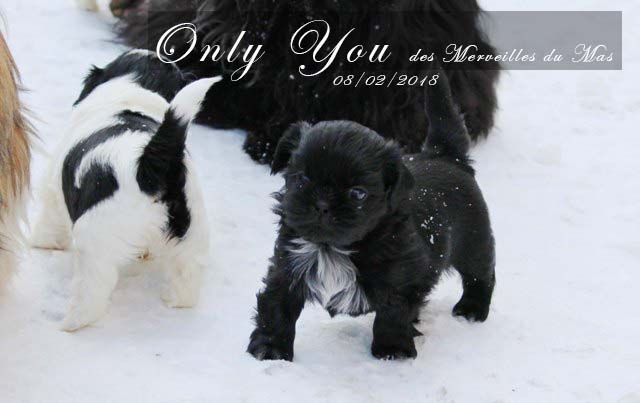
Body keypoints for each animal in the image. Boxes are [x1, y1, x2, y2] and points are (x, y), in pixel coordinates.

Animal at [31, 50, 219, 331]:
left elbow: (49, 223)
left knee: (91, 292)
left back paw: (70, 324)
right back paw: (174, 300)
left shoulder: (53, 189)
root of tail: (149, 166)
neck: (133, 89)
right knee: (186, 276)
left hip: (93, 240)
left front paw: (40, 245)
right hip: (192, 231)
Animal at [247, 71, 495, 361]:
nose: (321, 204)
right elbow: (277, 307)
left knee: (481, 274)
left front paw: (392, 350)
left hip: (473, 239)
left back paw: (472, 309)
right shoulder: (287, 267)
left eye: (358, 193)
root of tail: (445, 155)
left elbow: (393, 314)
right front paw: (270, 348)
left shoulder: (402, 279)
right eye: (302, 179)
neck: (333, 247)